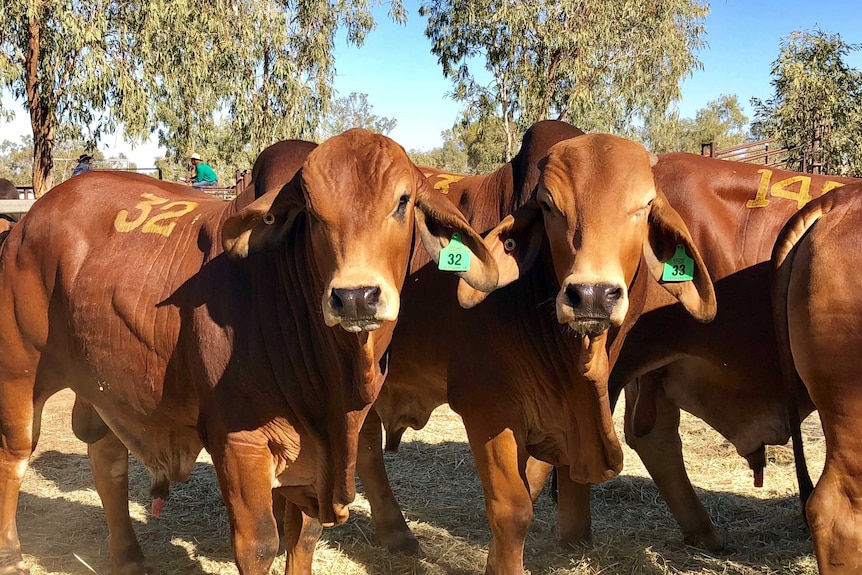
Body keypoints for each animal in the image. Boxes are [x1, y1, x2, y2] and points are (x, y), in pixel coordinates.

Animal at [0, 129, 500, 575]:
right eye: (311, 212)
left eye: (402, 202)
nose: (356, 297)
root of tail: (30, 219)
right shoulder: (239, 443)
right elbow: (259, 545)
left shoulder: (311, 461)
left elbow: (305, 537)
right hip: (20, 372)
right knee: (15, 454)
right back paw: (11, 554)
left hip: (104, 382)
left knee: (107, 459)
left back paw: (128, 557)